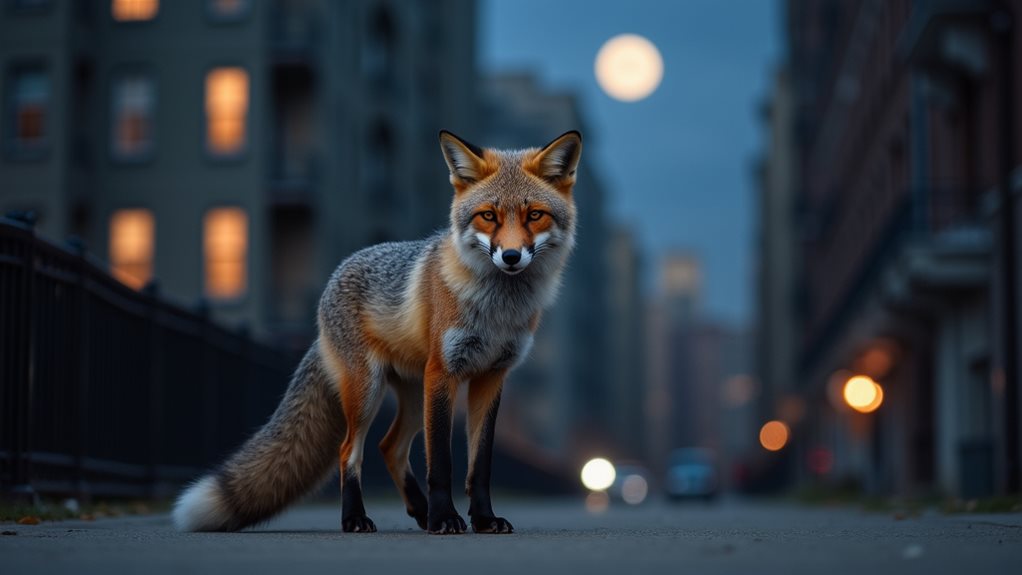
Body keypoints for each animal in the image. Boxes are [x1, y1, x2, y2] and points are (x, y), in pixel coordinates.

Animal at [172, 130, 582, 535]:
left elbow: (479, 467)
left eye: (534, 215)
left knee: (389, 447)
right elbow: (442, 463)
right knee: (349, 451)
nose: (511, 257)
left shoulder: (491, 377)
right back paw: (357, 518)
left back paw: (419, 511)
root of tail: (334, 279)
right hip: (371, 391)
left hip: (415, 397)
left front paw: (482, 519)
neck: (497, 309)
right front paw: (445, 518)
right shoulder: (445, 371)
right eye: (488, 216)